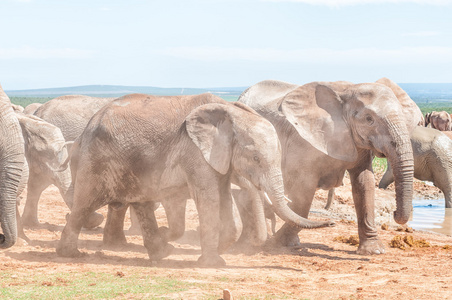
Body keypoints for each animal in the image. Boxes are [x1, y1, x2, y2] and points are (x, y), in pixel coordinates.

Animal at [55, 93, 332, 264]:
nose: (331, 222)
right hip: (96, 160)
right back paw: (70, 254)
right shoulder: (195, 151)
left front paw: (219, 251)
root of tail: (87, 128)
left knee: (141, 202)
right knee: (84, 204)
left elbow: (223, 196)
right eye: (255, 158)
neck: (230, 113)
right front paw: (214, 262)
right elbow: (209, 198)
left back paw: (162, 252)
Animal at [238, 81, 414, 254]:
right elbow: (304, 190)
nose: (395, 213)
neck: (350, 88)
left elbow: (365, 183)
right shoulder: (303, 141)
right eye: (369, 119)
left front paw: (373, 250)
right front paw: (277, 243)